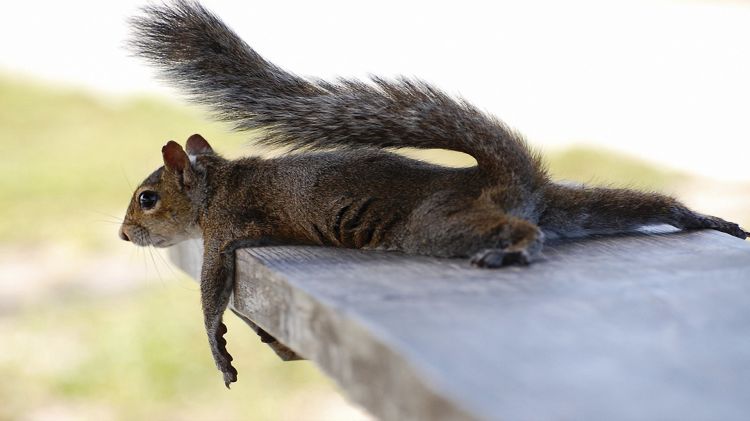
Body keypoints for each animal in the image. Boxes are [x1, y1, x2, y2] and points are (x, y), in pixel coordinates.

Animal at [119, 0, 750, 388]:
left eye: (147, 198)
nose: (124, 235)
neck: (215, 184)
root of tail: (505, 178)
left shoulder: (225, 229)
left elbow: (212, 293)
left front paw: (218, 349)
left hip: (435, 223)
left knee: (522, 230)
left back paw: (515, 249)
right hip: (573, 205)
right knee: (637, 206)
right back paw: (705, 219)